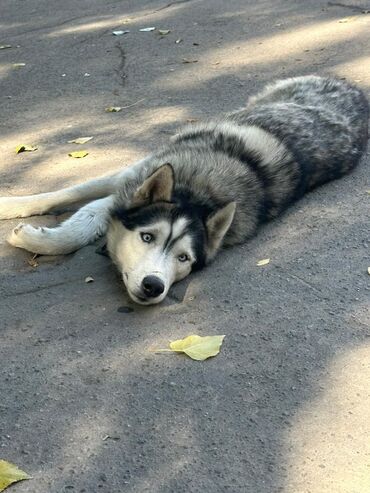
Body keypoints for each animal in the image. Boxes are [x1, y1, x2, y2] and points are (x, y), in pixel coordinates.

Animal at [1, 76, 368, 304]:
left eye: (184, 258)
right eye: (147, 237)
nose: (153, 286)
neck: (195, 194)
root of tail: (355, 91)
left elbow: (88, 216)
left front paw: (36, 238)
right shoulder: (137, 171)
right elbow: (71, 194)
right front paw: (12, 207)